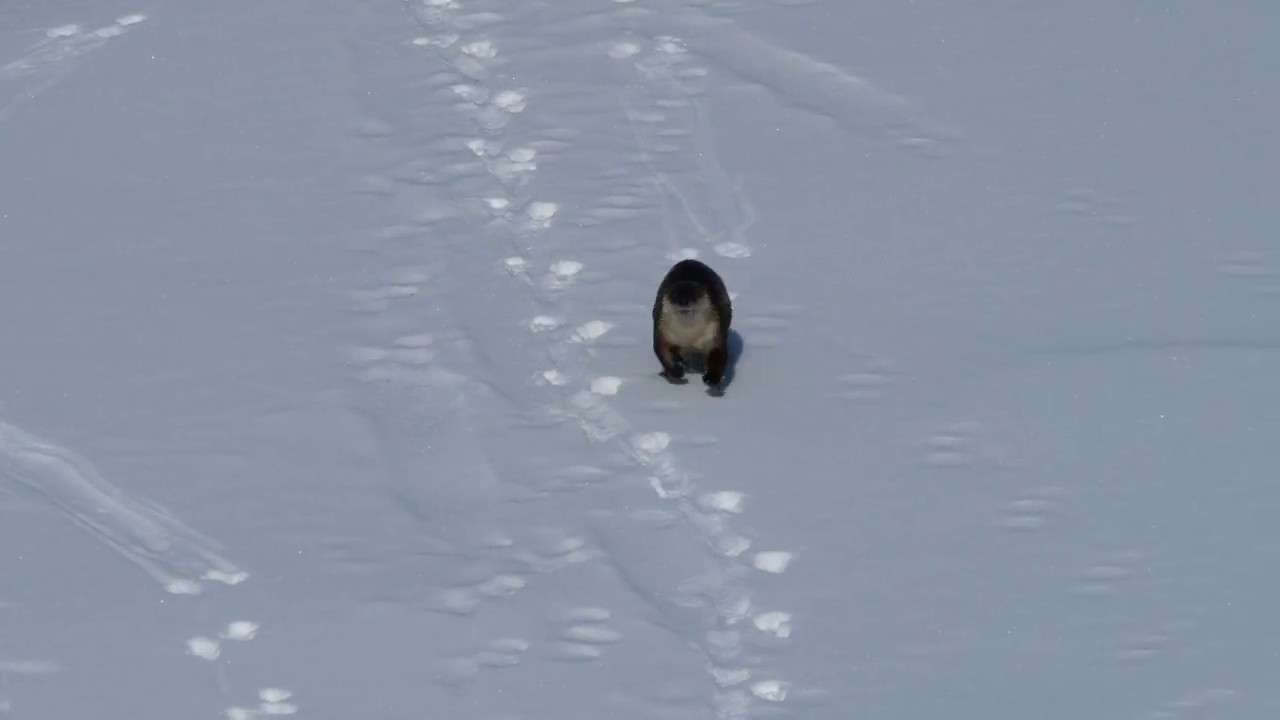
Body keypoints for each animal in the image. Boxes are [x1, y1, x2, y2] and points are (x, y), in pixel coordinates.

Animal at [652, 259, 732, 390]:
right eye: (675, 296)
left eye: (694, 296)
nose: (683, 301)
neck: (689, 336)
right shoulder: (662, 331)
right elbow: (662, 351)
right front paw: (676, 371)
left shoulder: (715, 334)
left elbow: (718, 355)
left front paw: (711, 378)